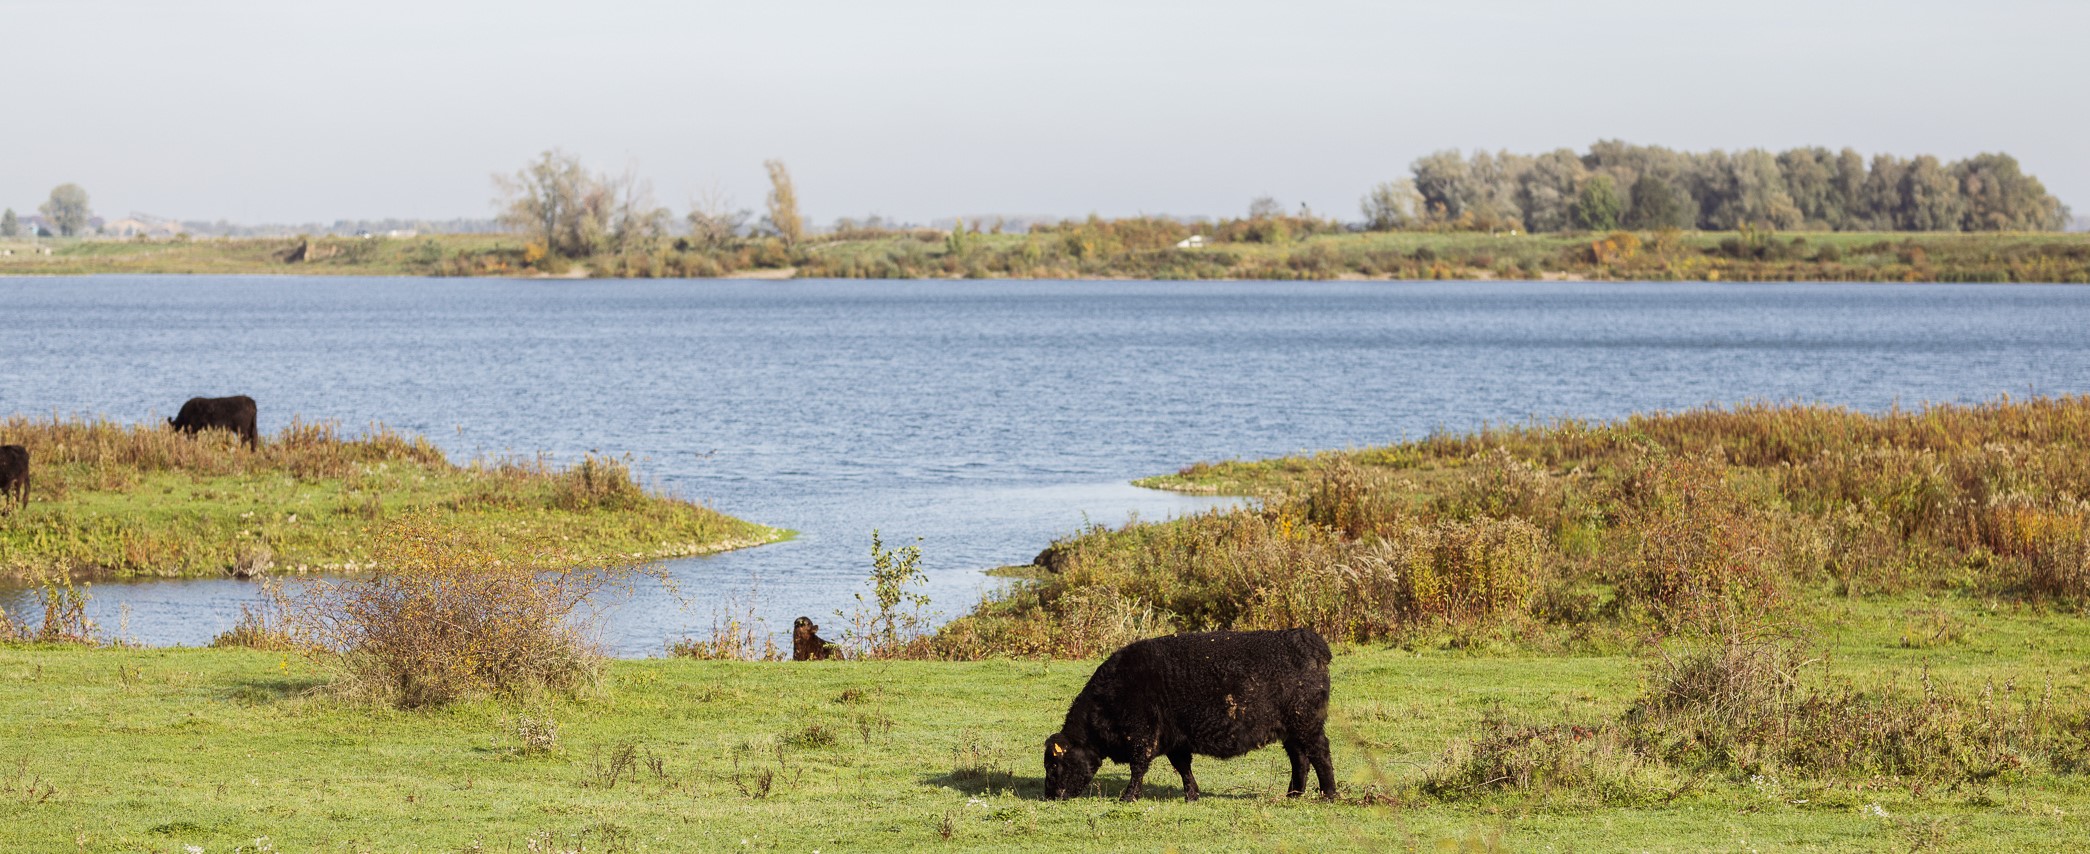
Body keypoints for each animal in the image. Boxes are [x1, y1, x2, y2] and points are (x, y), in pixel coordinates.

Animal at [1045, 626, 1337, 797]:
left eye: (1054, 765)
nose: (1050, 796)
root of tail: (1306, 638)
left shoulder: (1141, 737)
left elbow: (1138, 769)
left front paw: (1128, 796)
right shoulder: (1175, 741)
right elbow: (1183, 767)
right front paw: (1192, 794)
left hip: (1307, 725)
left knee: (1320, 754)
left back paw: (1329, 794)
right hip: (1292, 730)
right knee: (1300, 759)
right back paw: (1294, 794)